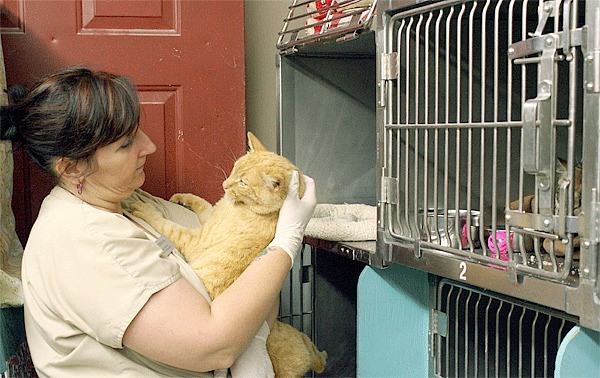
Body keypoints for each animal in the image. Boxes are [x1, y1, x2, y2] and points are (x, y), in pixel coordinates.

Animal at [129, 132, 326, 376]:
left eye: (243, 182)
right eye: (234, 168)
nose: (224, 184)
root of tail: (308, 349)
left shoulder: (196, 240)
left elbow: (166, 225)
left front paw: (145, 208)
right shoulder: (210, 215)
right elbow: (202, 203)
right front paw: (183, 197)